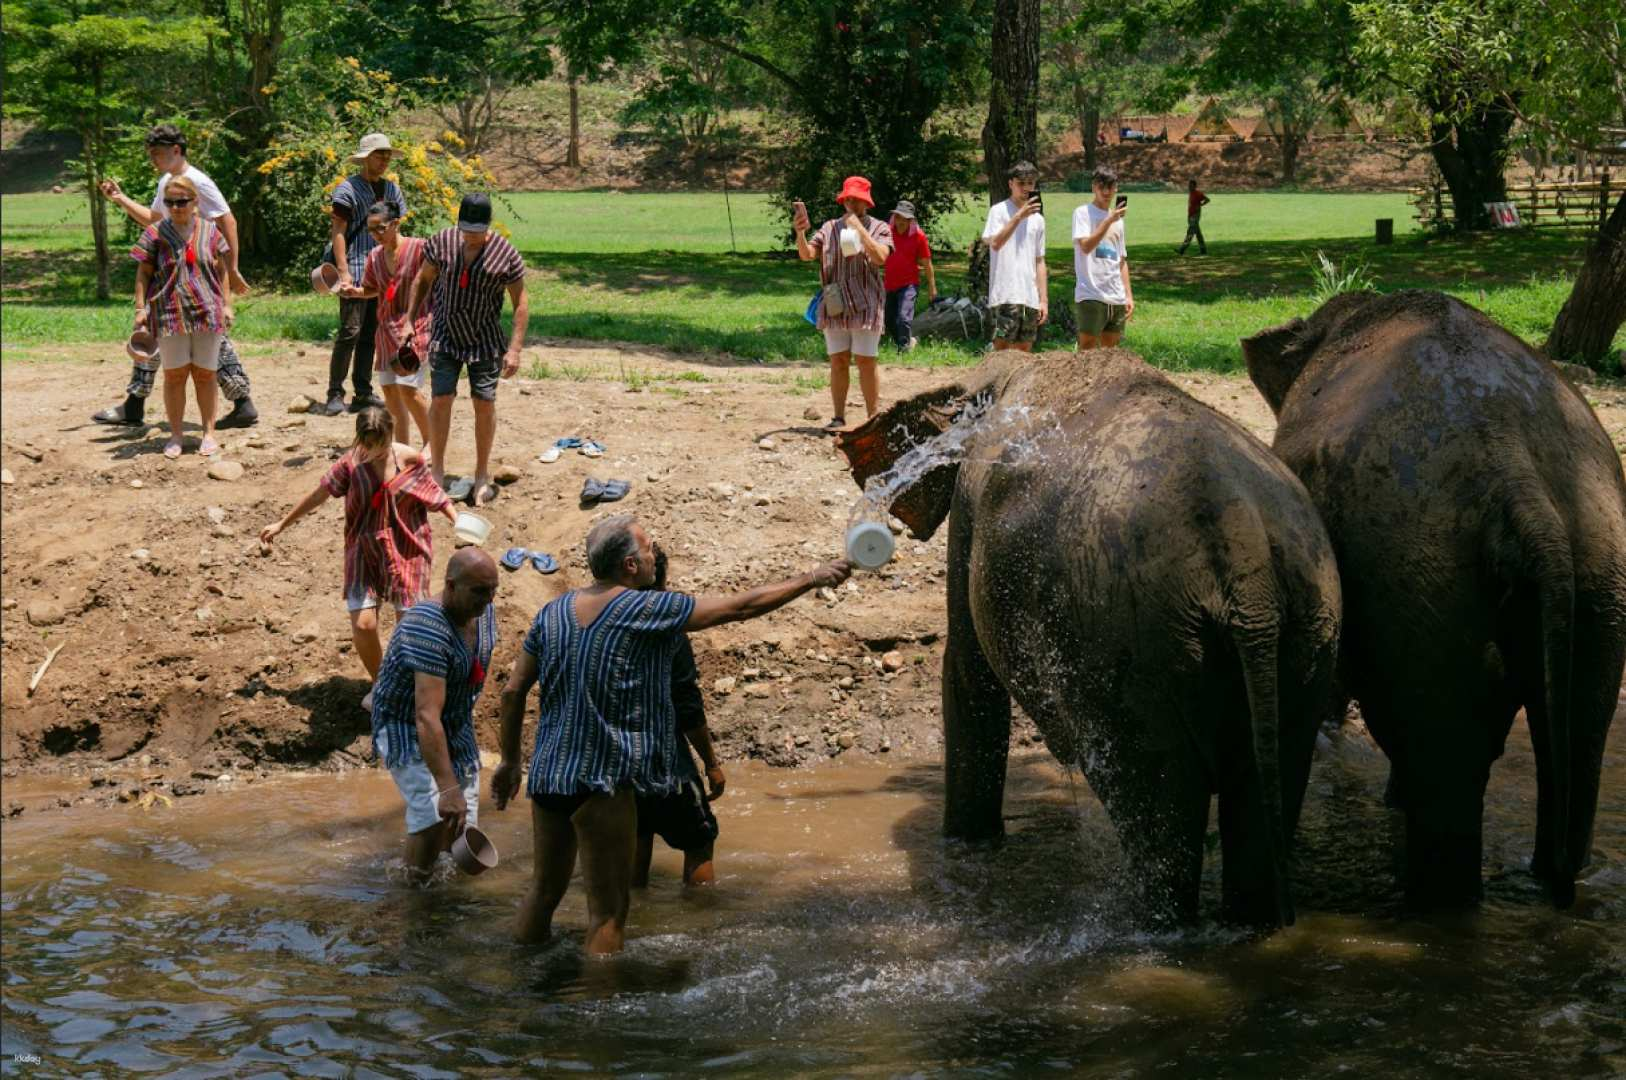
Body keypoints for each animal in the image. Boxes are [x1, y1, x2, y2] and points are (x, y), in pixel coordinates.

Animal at [837, 350, 1342, 927]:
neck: (1014, 368)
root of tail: (1246, 557)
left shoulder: (970, 507)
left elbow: (969, 670)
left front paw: (966, 848)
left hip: (1128, 646)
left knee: (1157, 804)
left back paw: (1153, 928)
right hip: (1307, 631)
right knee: (1264, 787)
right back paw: (1254, 925)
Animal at [1242, 289, 1626, 908]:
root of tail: (1518, 473)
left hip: (1419, 573)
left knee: (1447, 756)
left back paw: (1434, 901)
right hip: (1597, 554)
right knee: (1579, 733)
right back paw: (1555, 879)